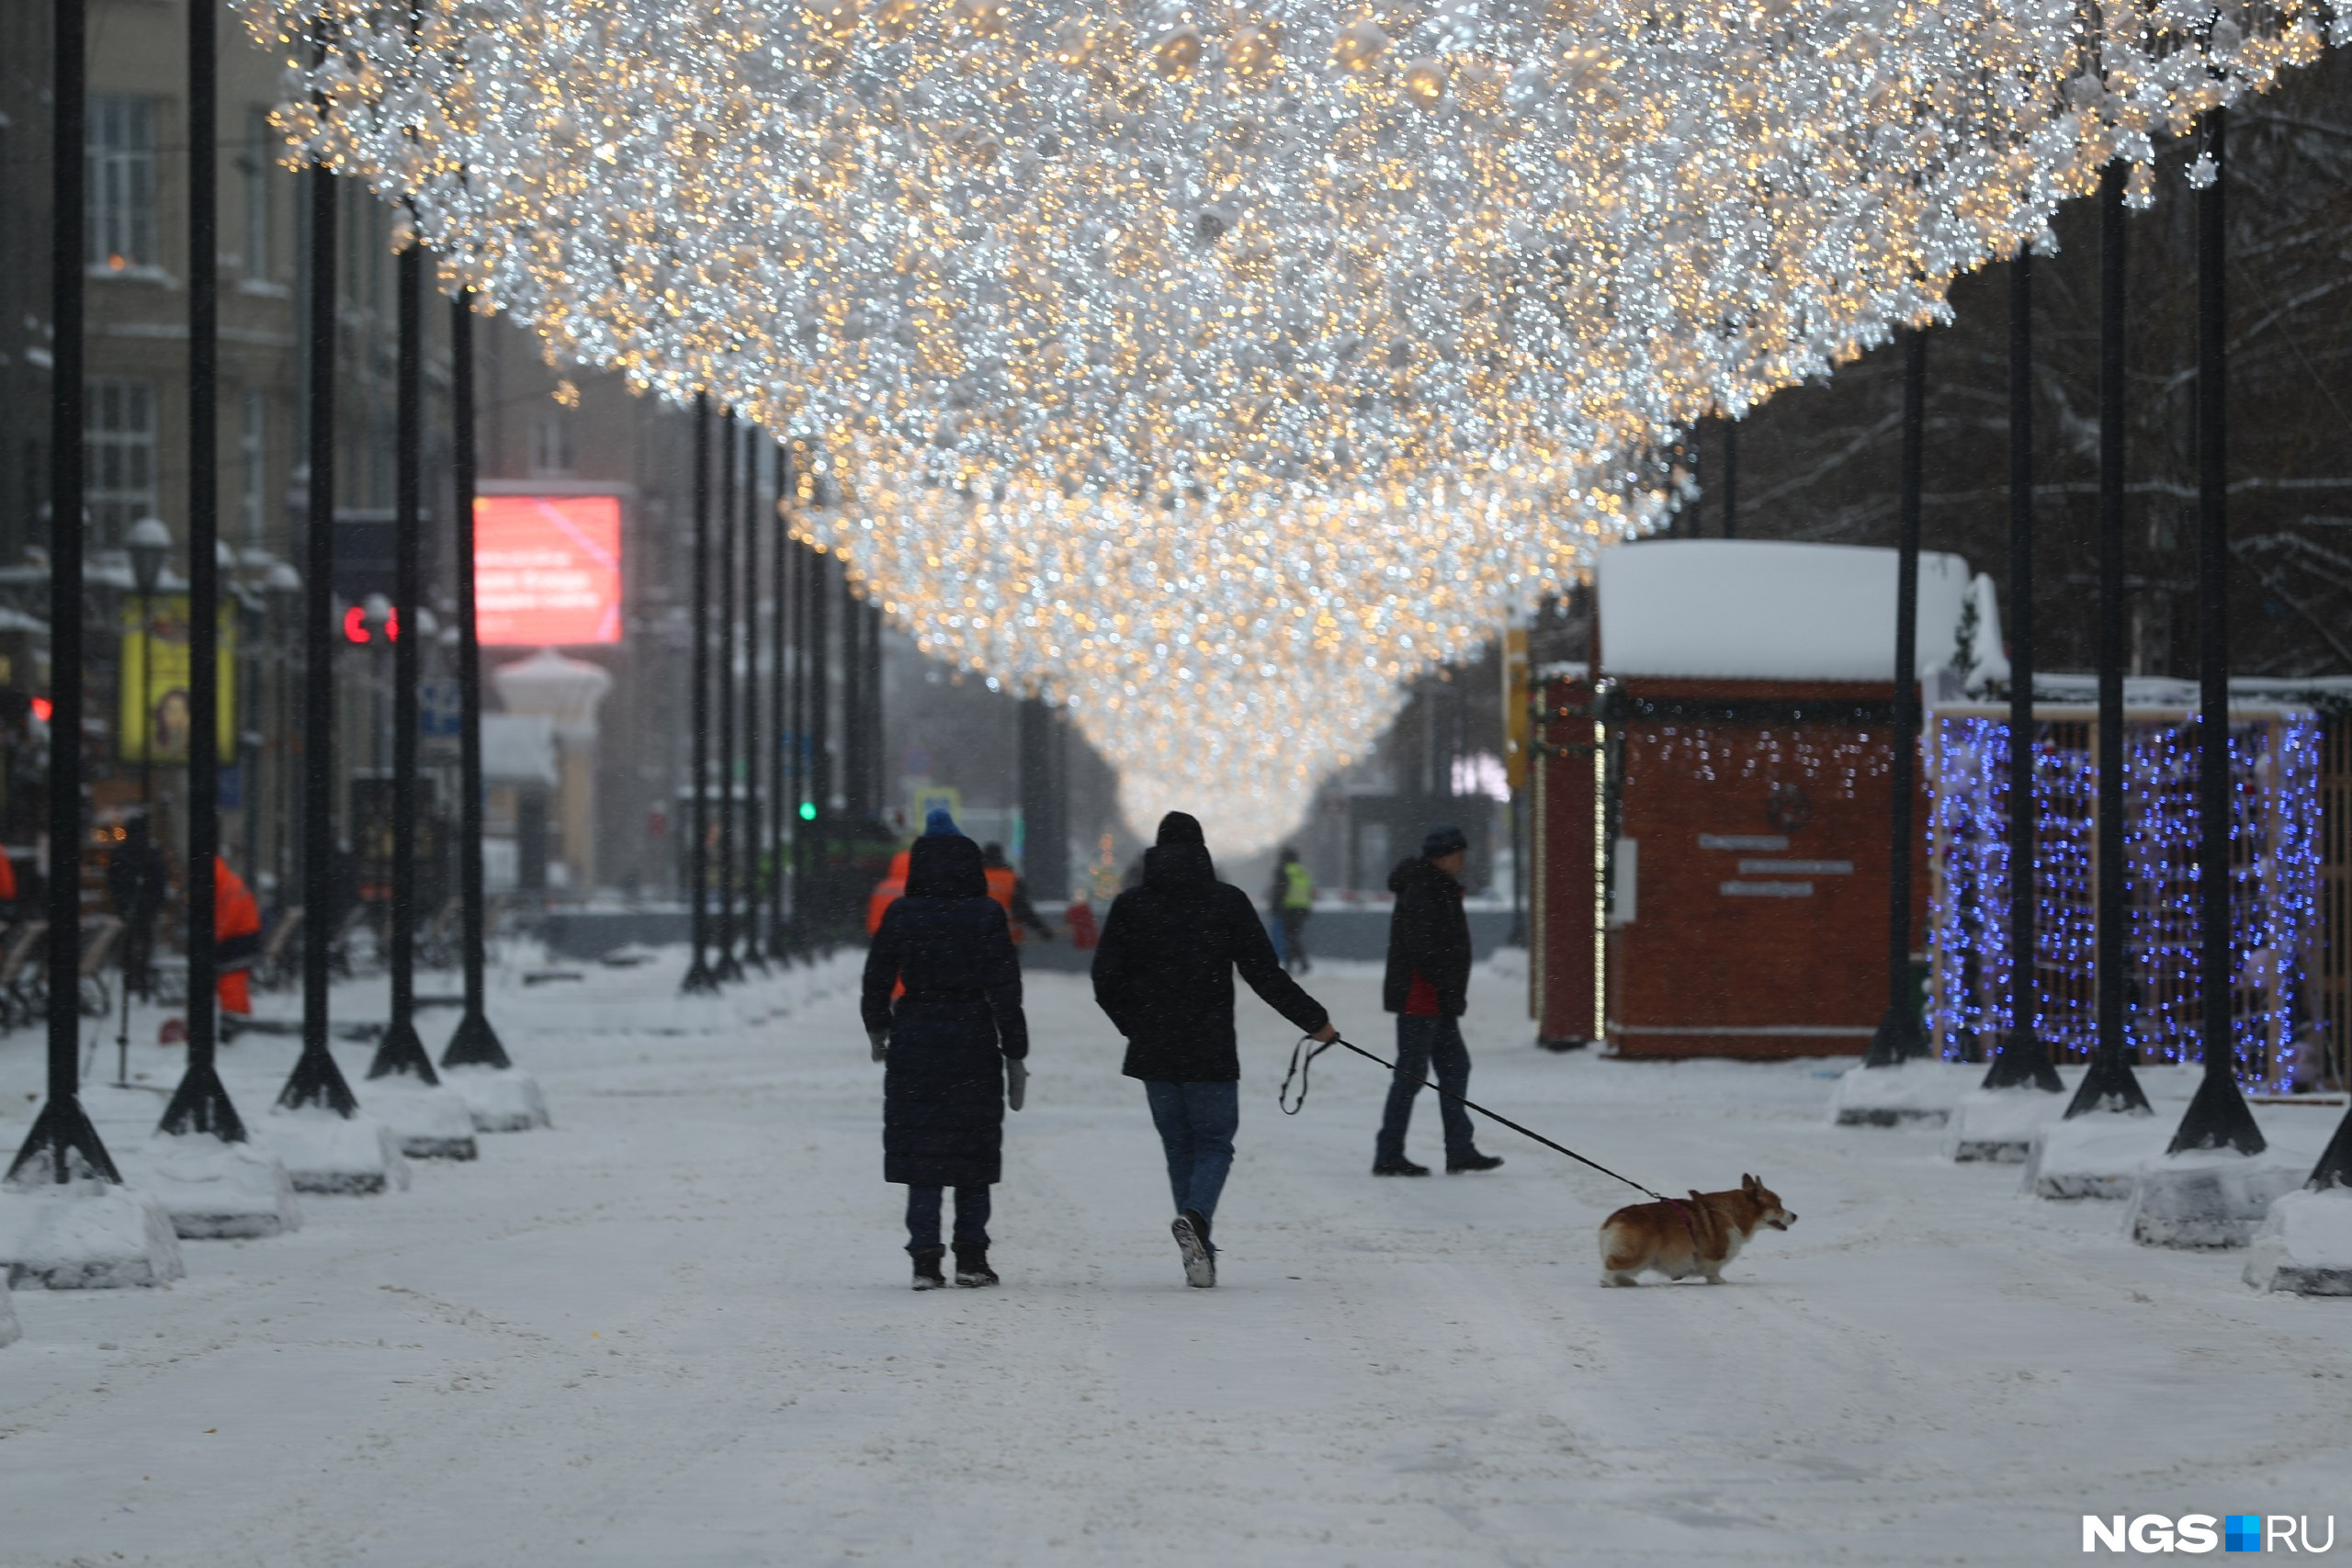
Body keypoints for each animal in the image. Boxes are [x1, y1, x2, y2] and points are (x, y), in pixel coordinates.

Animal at [1599, 1175, 1796, 1288]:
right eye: (1778, 1206)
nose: (1795, 1216)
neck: (1735, 1212)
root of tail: (1613, 1220)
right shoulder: (1714, 1256)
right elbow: (1714, 1270)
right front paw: (1718, 1281)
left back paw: (1627, 1282)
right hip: (1639, 1253)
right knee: (1611, 1265)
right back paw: (1608, 1282)